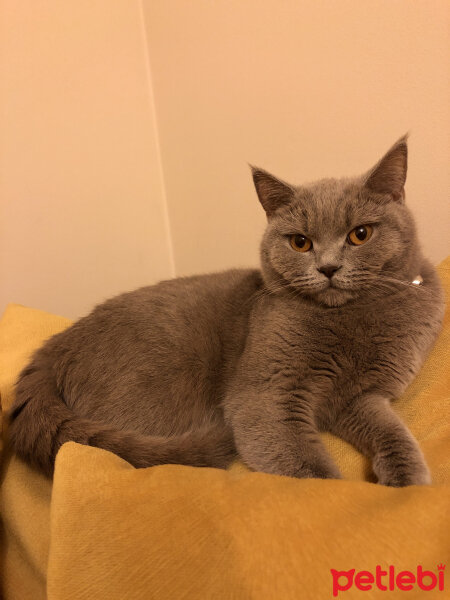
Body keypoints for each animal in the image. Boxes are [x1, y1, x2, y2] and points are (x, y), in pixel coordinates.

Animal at [8, 136, 444, 482]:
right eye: (300, 242)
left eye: (360, 234)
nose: (328, 267)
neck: (348, 320)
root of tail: (56, 346)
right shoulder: (266, 394)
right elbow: (307, 470)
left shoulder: (362, 396)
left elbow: (392, 432)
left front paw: (407, 482)